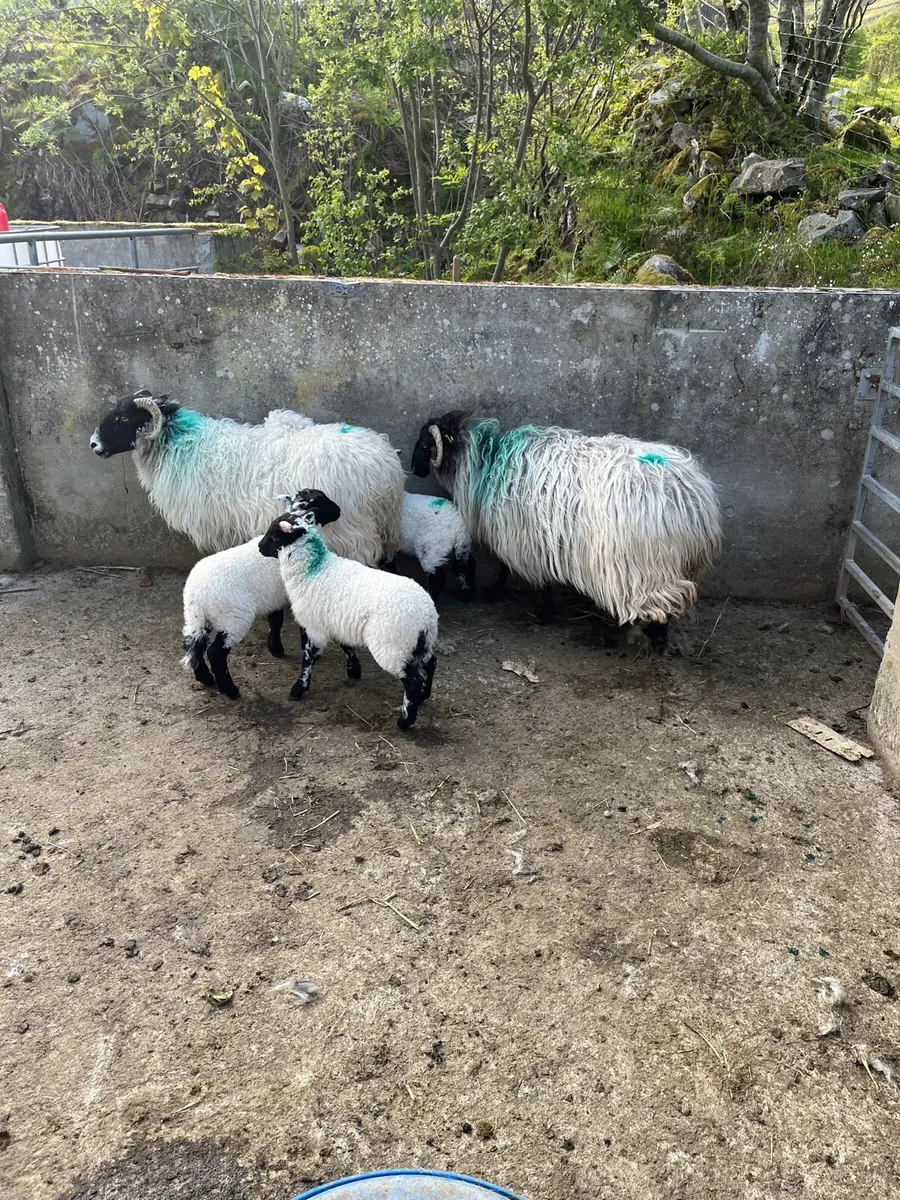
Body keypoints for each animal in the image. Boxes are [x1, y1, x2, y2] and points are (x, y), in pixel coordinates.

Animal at [90, 391, 404, 564]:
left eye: (123, 419)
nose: (93, 444)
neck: (182, 444)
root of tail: (386, 466)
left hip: (353, 531)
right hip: (386, 527)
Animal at [180, 536, 361, 699]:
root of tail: (198, 594)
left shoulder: (277, 598)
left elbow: (276, 620)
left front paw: (276, 648)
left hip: (198, 617)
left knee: (193, 644)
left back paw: (205, 678)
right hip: (233, 617)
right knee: (215, 653)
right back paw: (230, 690)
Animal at [258, 489, 438, 731]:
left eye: (274, 535)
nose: (259, 547)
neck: (313, 567)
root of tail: (426, 615)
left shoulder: (313, 625)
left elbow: (308, 658)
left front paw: (299, 688)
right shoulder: (335, 621)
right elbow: (346, 646)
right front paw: (354, 671)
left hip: (393, 646)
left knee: (412, 681)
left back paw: (405, 721)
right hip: (420, 644)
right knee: (430, 664)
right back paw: (424, 695)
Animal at [411, 411, 721, 651]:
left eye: (426, 444)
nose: (414, 469)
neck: (485, 460)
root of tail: (690, 496)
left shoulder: (522, 535)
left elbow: (511, 569)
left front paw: (525, 605)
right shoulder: (538, 537)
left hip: (648, 565)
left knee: (670, 601)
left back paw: (655, 639)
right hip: (683, 562)